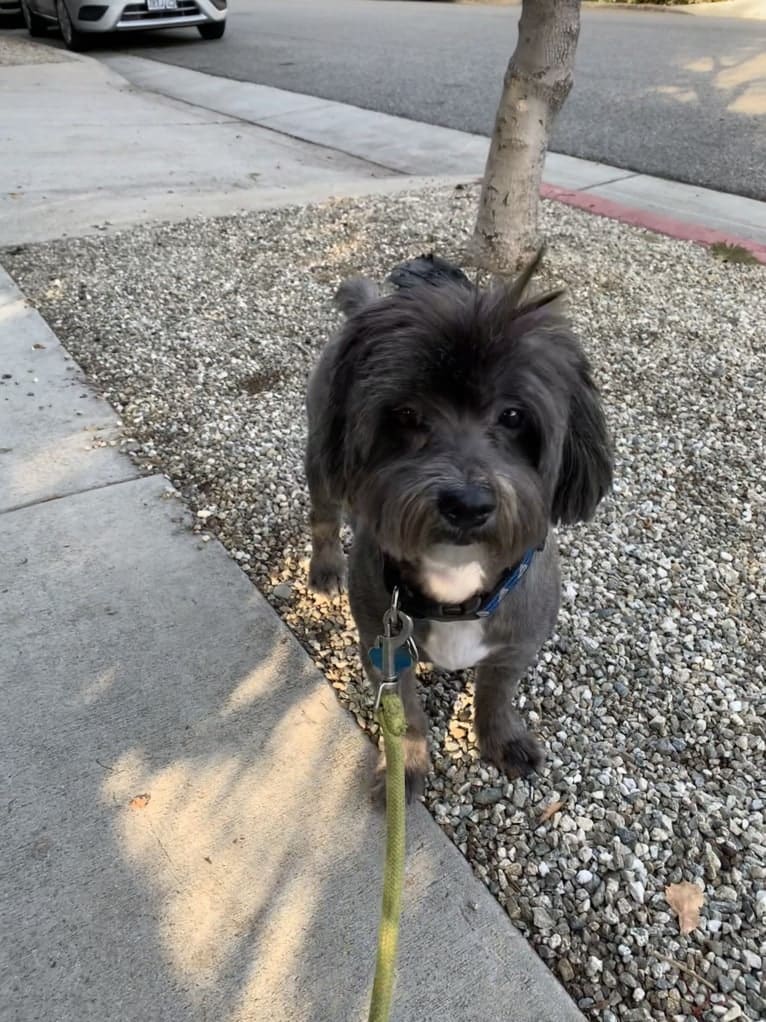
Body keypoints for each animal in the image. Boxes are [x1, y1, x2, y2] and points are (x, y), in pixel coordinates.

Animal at [306, 253, 612, 797]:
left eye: (513, 416)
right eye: (406, 413)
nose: (467, 504)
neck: (456, 577)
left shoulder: (515, 643)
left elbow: (495, 694)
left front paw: (501, 740)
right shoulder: (383, 646)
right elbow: (407, 714)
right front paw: (406, 768)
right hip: (321, 457)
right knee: (323, 516)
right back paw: (324, 569)